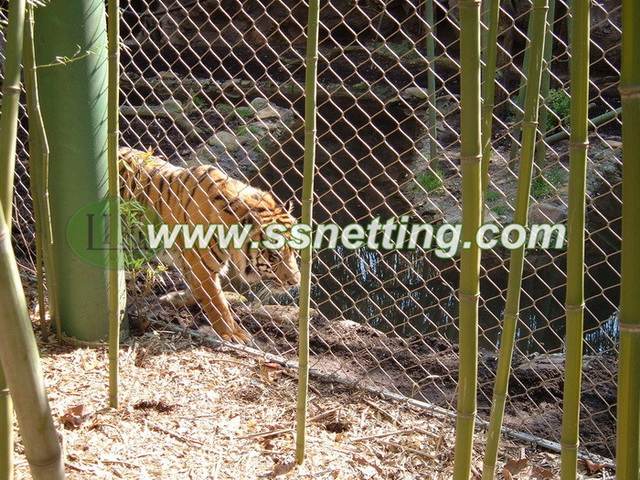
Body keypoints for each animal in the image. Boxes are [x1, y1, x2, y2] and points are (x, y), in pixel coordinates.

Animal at [118, 147, 300, 345]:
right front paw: (234, 334)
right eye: (274, 256)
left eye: (294, 252)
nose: (295, 282)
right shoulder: (203, 266)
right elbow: (218, 303)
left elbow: (196, 288)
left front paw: (175, 298)